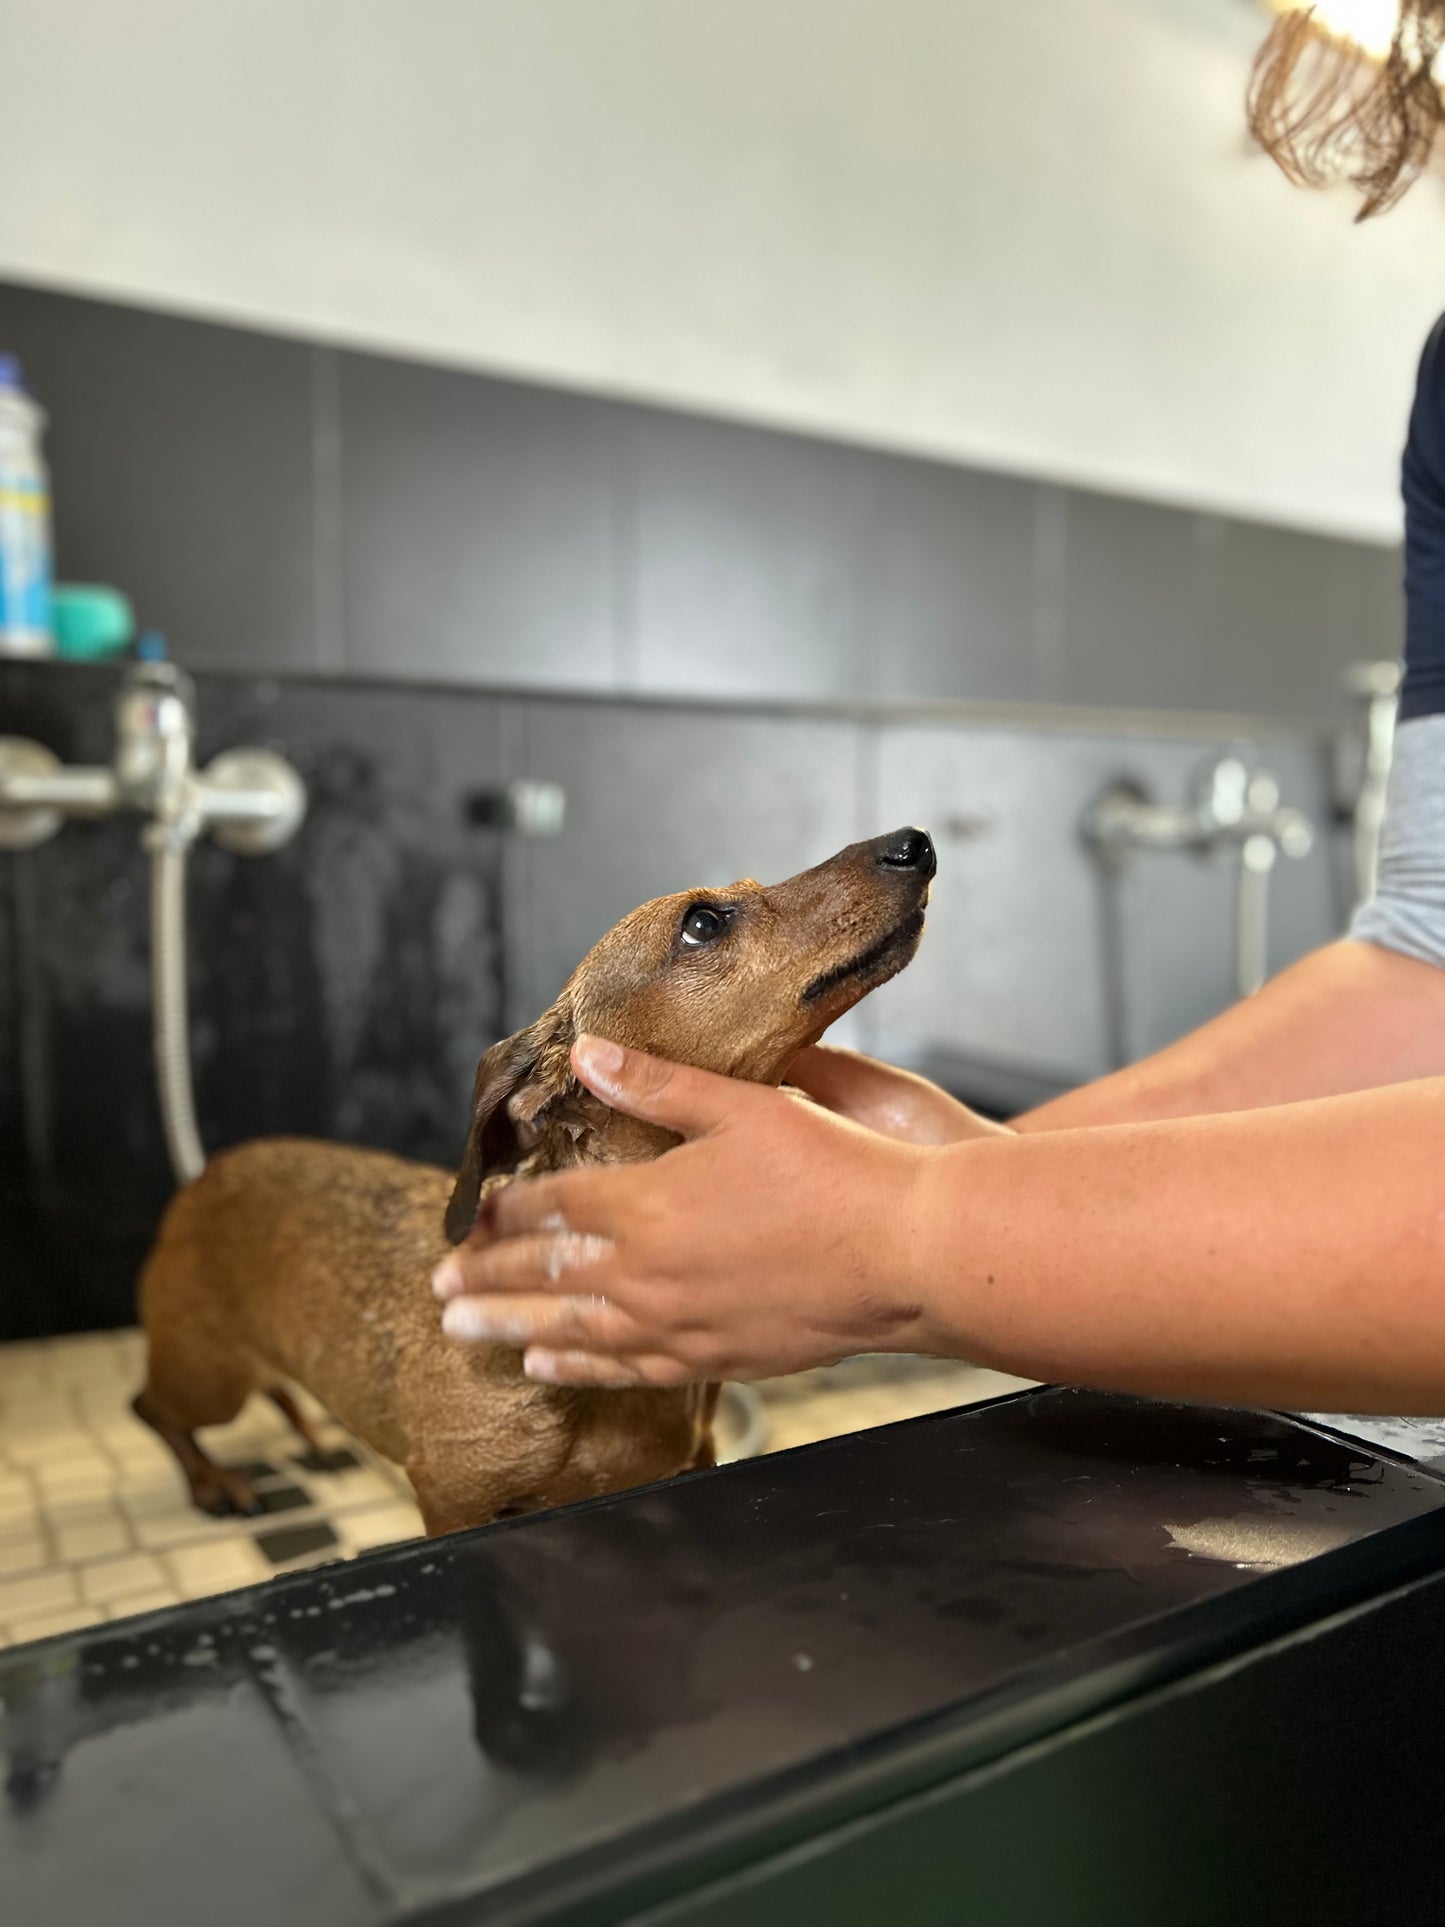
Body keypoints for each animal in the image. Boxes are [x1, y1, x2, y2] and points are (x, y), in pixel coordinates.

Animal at [135, 824, 940, 1533]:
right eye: (703, 923)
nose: (915, 841)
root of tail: (206, 1174)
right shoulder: (451, 1501)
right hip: (208, 1378)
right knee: (150, 1408)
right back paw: (213, 1482)